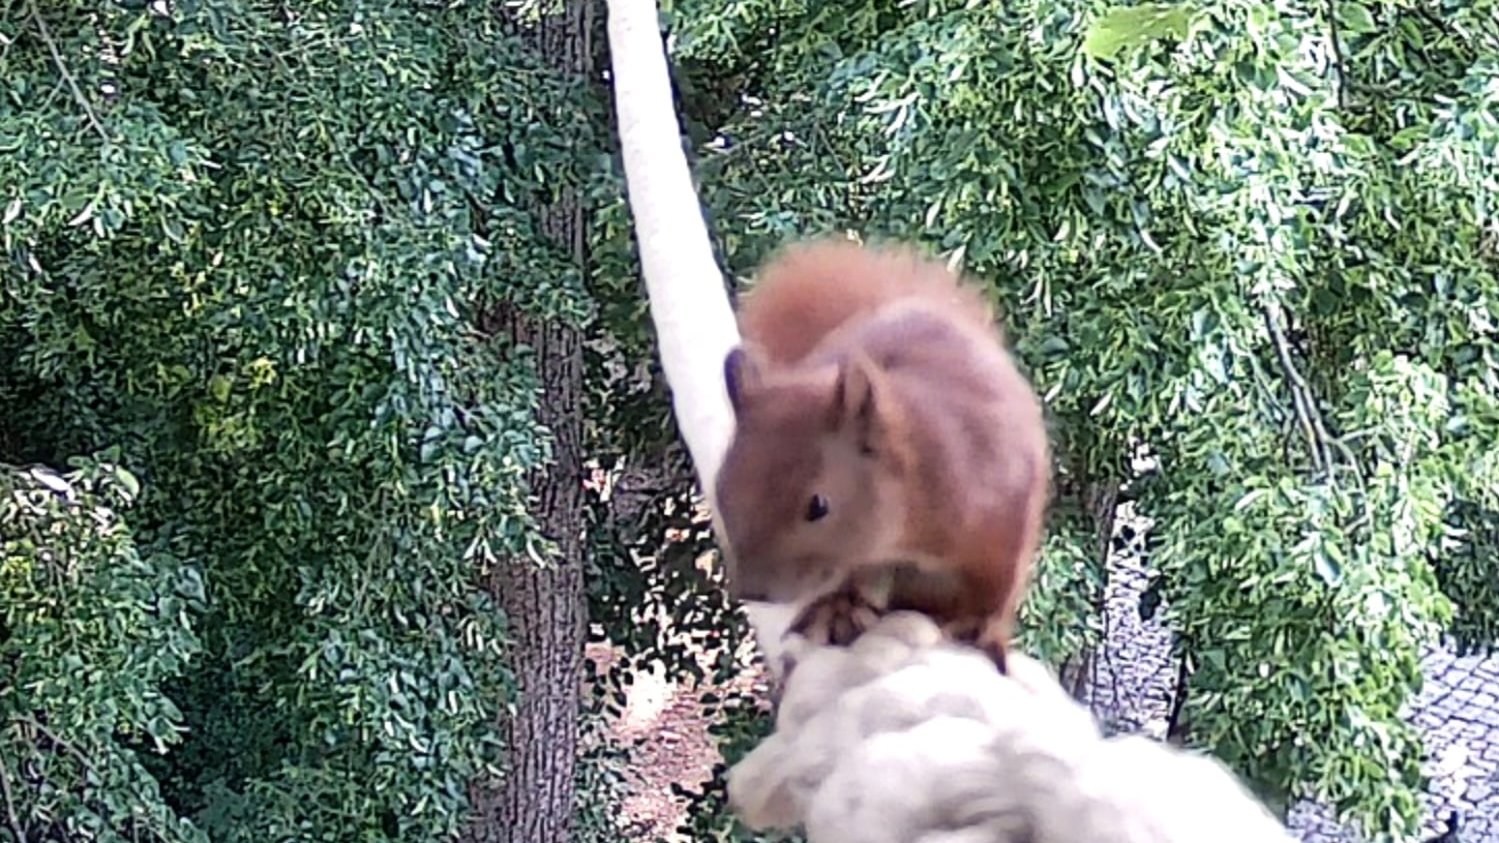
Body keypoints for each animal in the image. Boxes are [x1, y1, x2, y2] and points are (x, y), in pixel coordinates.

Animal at [714, 237, 1051, 673]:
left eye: (818, 505)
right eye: (721, 489)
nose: (753, 590)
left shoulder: (1002, 515)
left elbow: (996, 593)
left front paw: (982, 628)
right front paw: (835, 607)